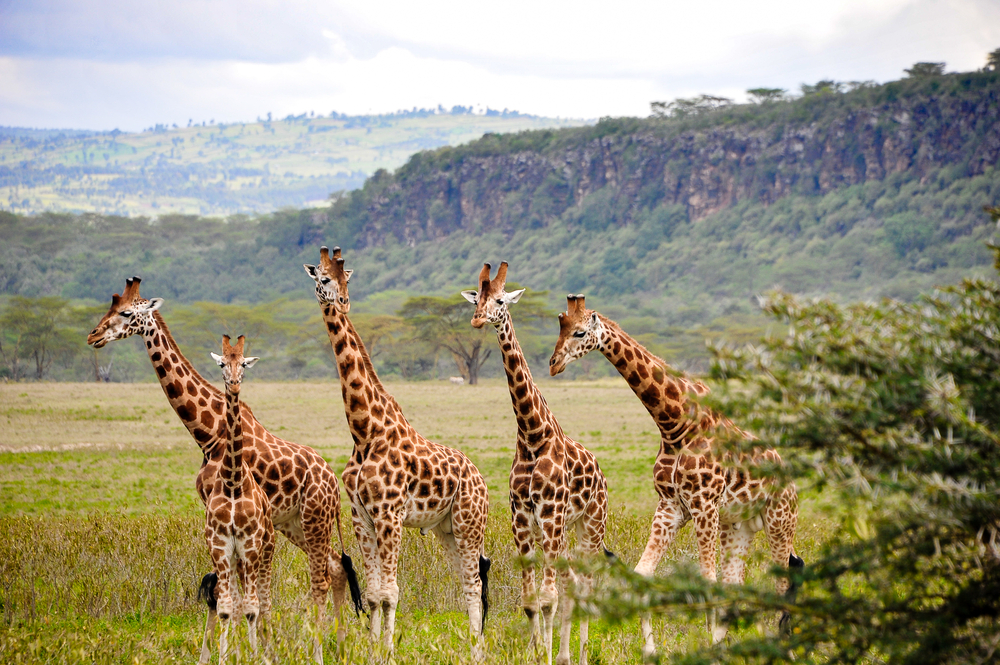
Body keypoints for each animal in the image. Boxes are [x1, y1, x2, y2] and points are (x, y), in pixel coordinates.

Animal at [85, 278, 360, 660]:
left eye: (126, 313)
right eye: (108, 308)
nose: (93, 335)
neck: (207, 432)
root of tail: (333, 481)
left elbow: (238, 596)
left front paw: (247, 652)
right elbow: (223, 593)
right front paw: (237, 653)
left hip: (314, 520)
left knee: (322, 575)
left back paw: (323, 650)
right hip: (294, 525)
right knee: (335, 567)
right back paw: (341, 646)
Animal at [304, 245, 492, 660]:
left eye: (345, 278)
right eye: (323, 278)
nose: (342, 301)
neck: (364, 430)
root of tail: (480, 477)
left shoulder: (389, 514)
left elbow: (391, 593)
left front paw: (388, 652)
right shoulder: (361, 517)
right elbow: (374, 593)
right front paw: (372, 649)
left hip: (470, 522)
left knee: (474, 585)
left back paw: (477, 653)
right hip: (445, 529)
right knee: (465, 582)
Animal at [460, 262, 608, 664]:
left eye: (499, 300)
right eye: (475, 299)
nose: (477, 319)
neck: (531, 434)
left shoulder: (551, 514)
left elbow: (547, 598)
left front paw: (546, 653)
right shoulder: (522, 518)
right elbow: (530, 601)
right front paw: (537, 651)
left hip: (590, 526)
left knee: (585, 586)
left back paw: (581, 655)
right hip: (562, 532)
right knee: (571, 583)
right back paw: (566, 654)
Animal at [552, 294, 800, 652]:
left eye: (580, 332)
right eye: (560, 328)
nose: (554, 363)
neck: (674, 424)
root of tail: (792, 481)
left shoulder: (704, 504)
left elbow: (708, 580)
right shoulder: (671, 506)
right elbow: (643, 576)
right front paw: (650, 650)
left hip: (780, 520)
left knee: (781, 584)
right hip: (739, 526)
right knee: (737, 583)